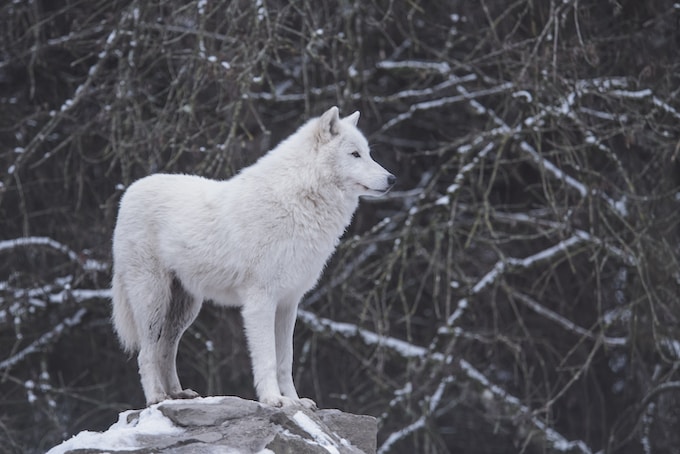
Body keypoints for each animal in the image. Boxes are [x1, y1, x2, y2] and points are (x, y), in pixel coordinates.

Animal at [111, 105, 396, 408]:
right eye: (355, 154)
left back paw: (178, 394)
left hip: (185, 308)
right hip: (153, 300)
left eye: (368, 153)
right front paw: (273, 399)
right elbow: (268, 358)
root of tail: (130, 191)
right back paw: (156, 397)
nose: (392, 179)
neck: (297, 202)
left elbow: (285, 360)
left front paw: (295, 401)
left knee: (166, 349)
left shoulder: (289, 303)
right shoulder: (260, 301)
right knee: (146, 353)